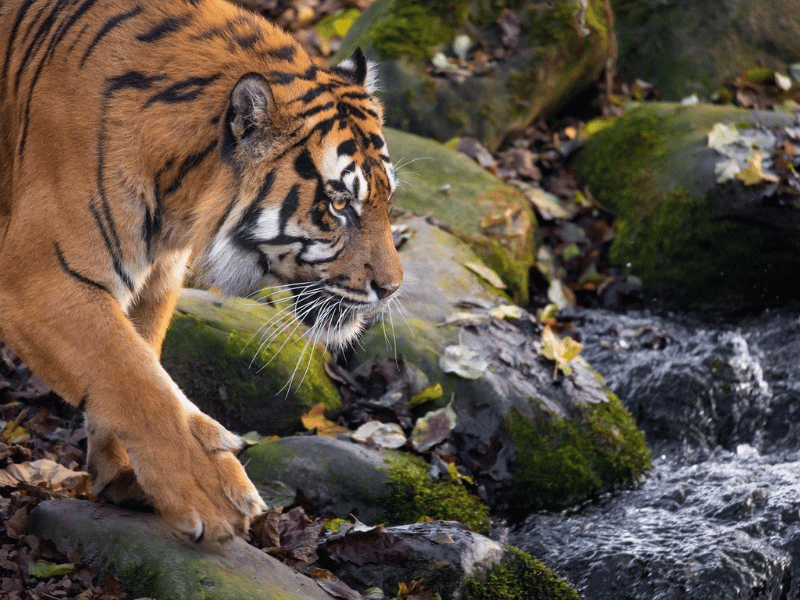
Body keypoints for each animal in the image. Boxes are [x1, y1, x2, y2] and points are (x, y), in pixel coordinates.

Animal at [0, 0, 403, 542]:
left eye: (386, 200)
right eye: (340, 204)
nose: (392, 288)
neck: (180, 190)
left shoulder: (156, 275)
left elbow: (141, 357)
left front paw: (124, 475)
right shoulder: (40, 278)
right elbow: (133, 379)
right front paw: (211, 493)